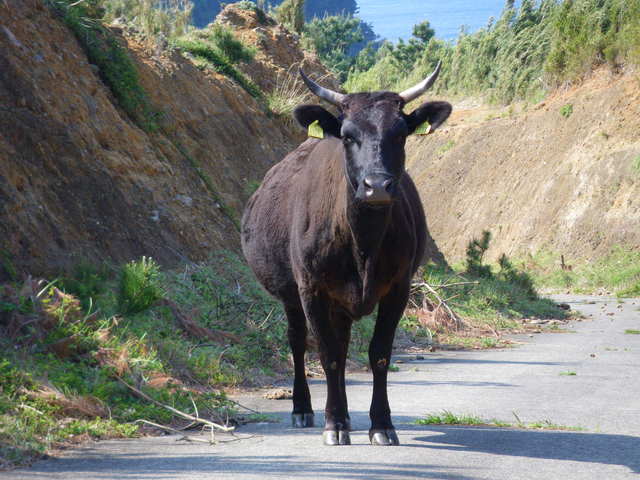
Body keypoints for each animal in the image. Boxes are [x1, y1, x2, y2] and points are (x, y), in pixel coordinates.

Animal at [242, 63, 452, 446]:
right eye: (348, 135)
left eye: (401, 135)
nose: (377, 185)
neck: (362, 244)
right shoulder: (311, 288)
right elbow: (327, 355)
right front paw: (335, 424)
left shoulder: (399, 288)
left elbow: (379, 353)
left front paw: (381, 424)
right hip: (292, 295)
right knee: (299, 342)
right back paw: (304, 409)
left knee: (340, 342)